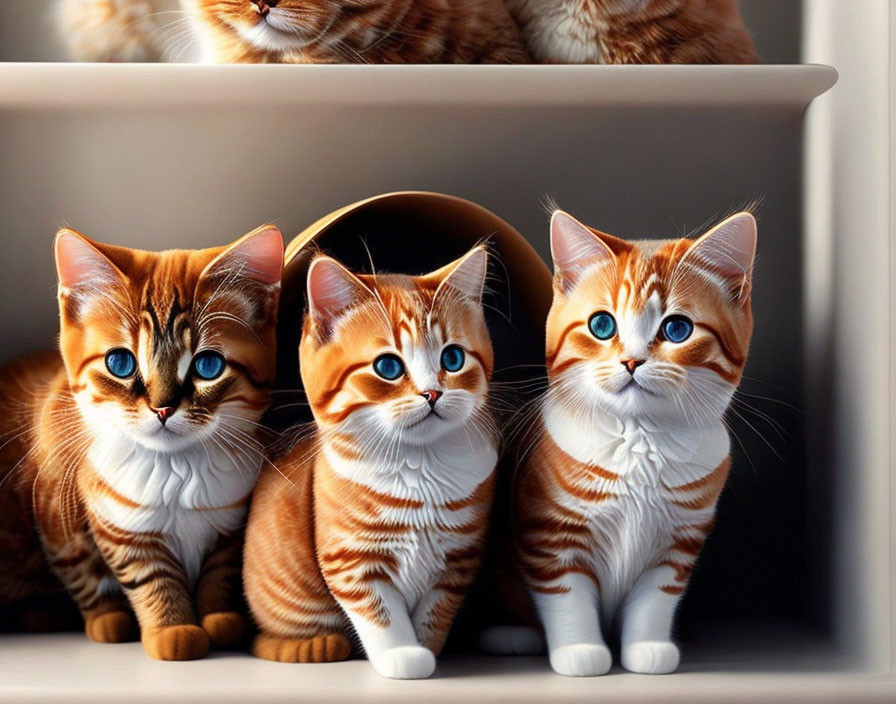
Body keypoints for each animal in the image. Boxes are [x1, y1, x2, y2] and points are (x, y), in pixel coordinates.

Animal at [0, 227, 284, 660]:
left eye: (208, 366)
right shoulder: (113, 526)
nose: (162, 408)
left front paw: (220, 620)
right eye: (120, 363)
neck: (177, 471)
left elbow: (219, 573)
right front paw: (172, 630)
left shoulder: (230, 523)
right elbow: (147, 578)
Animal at [245, 248, 496, 676]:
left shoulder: (458, 560)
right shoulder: (351, 561)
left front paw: (427, 647)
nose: (432, 393)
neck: (419, 467)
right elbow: (382, 613)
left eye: (453, 358)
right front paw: (403, 655)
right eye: (388, 367)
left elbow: (435, 613)